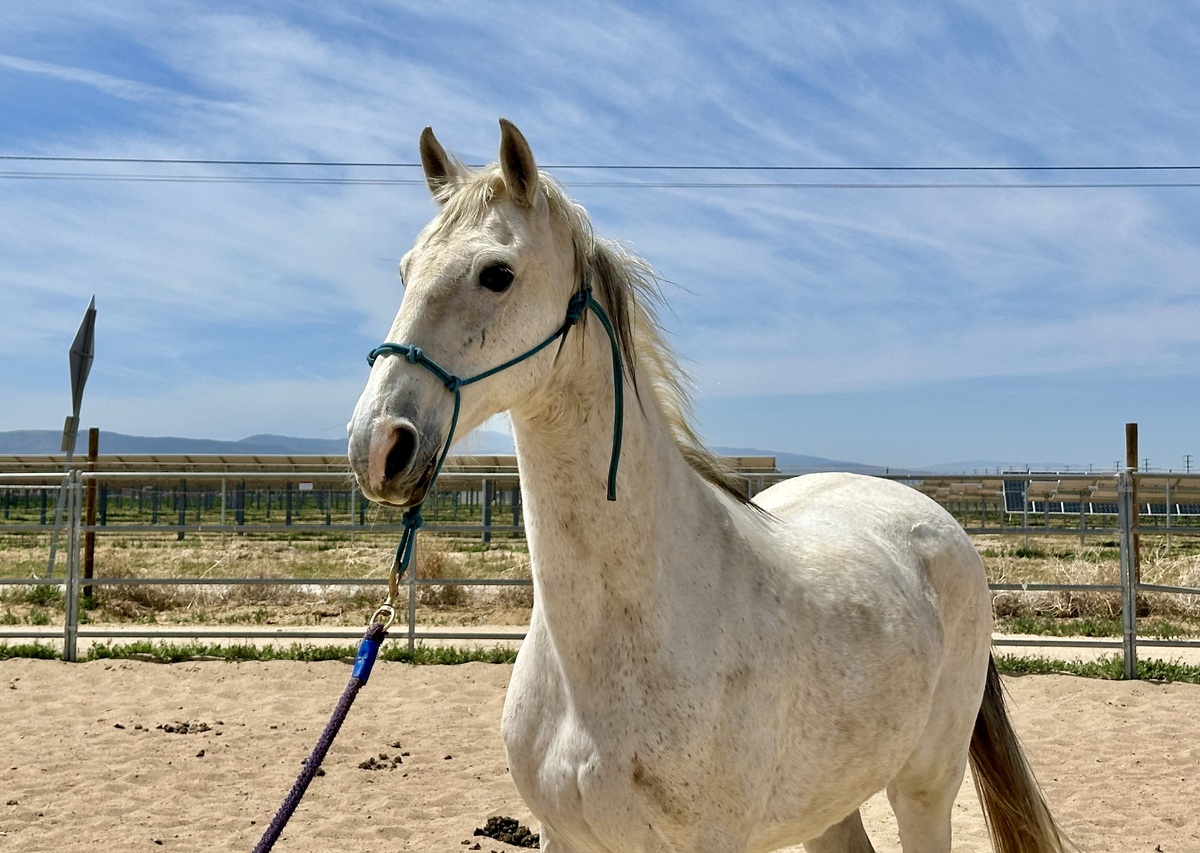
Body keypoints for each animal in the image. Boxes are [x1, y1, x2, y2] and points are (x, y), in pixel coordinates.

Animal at [347, 119, 1070, 853]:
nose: (377, 445)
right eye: (406, 271)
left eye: (497, 274)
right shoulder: (563, 836)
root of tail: (936, 521)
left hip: (925, 788)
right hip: (827, 800)